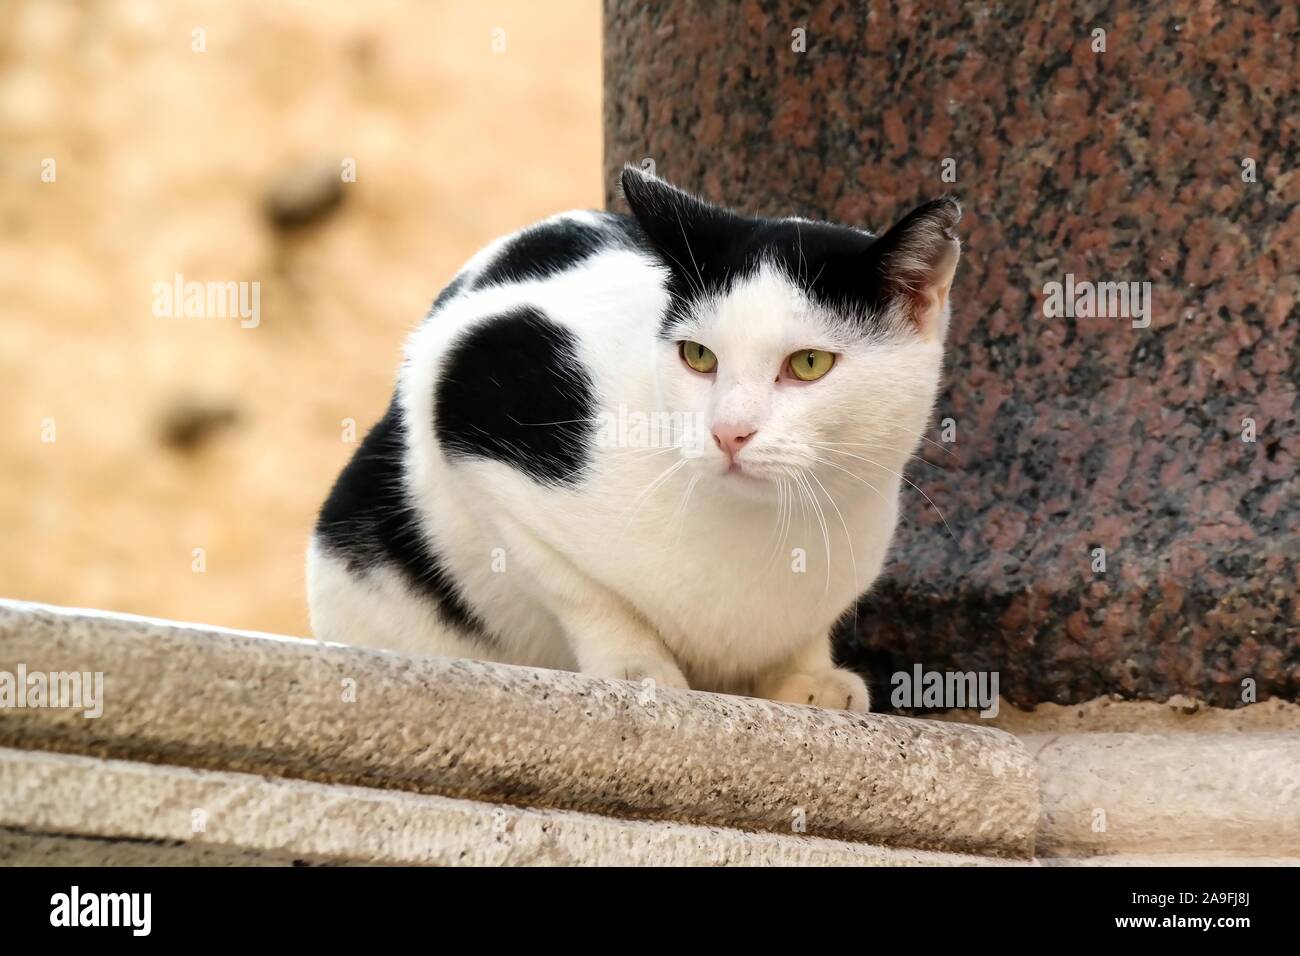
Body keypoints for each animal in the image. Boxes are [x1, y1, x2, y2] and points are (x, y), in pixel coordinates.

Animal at [304, 170, 956, 712]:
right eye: (698, 356)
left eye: (809, 364)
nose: (728, 431)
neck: (759, 527)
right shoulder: (471, 395)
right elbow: (578, 588)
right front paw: (636, 668)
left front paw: (808, 674)